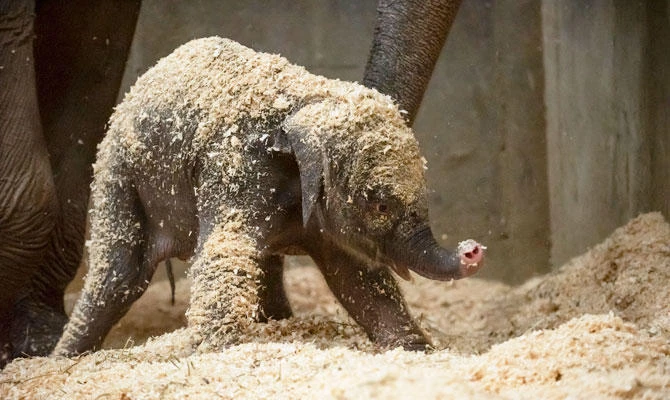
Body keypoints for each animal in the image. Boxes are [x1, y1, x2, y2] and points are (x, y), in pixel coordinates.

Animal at [0, 0, 462, 364]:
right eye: (380, 205)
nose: (472, 250)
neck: (307, 101)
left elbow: (357, 275)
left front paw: (418, 352)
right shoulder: (238, 168)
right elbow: (223, 255)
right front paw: (225, 354)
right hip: (120, 173)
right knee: (119, 273)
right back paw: (59, 359)